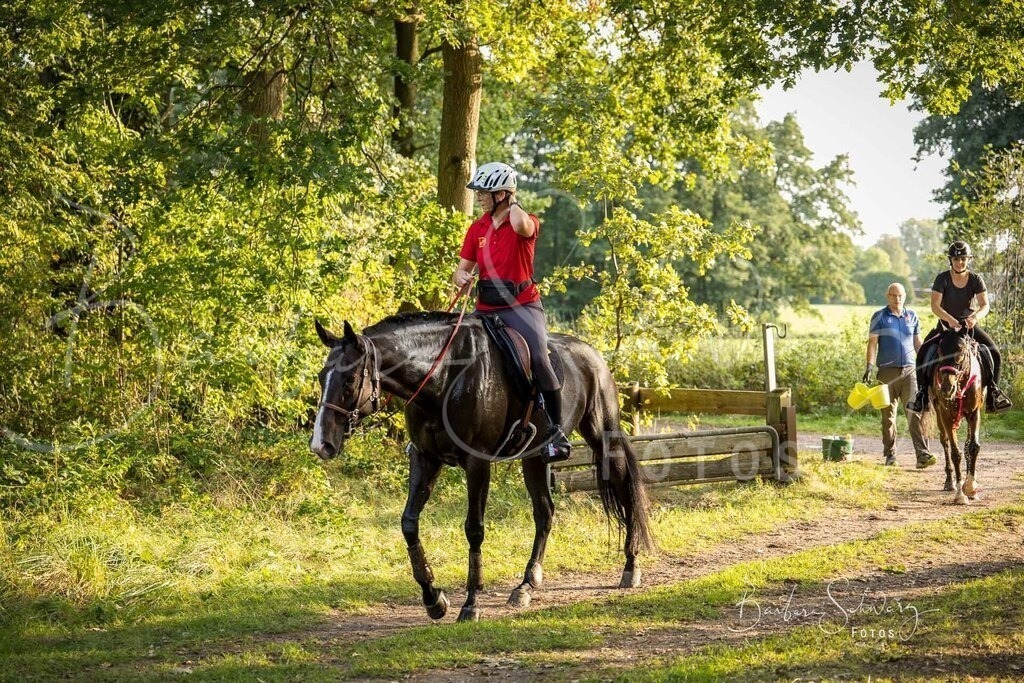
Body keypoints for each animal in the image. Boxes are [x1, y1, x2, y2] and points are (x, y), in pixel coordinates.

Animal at [309, 312, 655, 622]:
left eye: (349, 380)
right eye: (321, 377)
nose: (320, 445)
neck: (444, 377)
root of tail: (592, 353)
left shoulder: (477, 462)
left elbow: (474, 529)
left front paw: (471, 604)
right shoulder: (424, 458)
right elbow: (409, 524)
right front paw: (434, 599)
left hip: (603, 436)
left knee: (624, 489)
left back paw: (631, 566)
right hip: (534, 457)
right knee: (544, 512)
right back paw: (526, 584)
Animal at [924, 325, 984, 504]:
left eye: (961, 351)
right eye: (940, 351)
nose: (946, 389)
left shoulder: (974, 413)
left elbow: (973, 447)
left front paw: (970, 487)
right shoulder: (946, 416)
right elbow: (955, 453)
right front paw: (960, 494)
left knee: (967, 444)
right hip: (939, 415)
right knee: (945, 442)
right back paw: (949, 482)